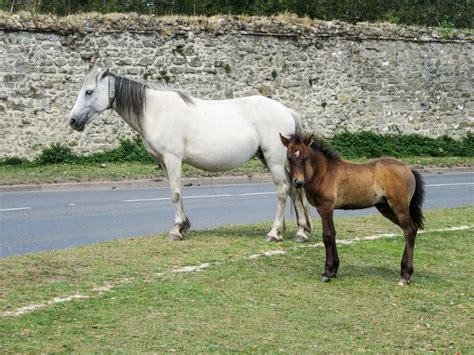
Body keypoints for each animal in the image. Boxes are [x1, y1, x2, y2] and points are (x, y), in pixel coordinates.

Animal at [67, 68, 312, 243]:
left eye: (89, 91)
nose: (73, 121)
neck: (156, 111)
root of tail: (286, 111)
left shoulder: (172, 159)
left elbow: (175, 193)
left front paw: (176, 230)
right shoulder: (166, 163)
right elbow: (178, 193)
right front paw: (184, 226)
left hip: (274, 161)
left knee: (282, 191)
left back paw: (274, 233)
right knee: (293, 189)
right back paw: (301, 232)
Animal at [282, 132, 426, 286]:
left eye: (305, 157)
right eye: (289, 157)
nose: (298, 182)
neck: (324, 172)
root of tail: (408, 169)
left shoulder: (326, 206)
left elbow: (327, 236)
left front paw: (326, 273)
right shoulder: (323, 209)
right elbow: (333, 233)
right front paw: (334, 270)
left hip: (399, 207)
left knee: (409, 231)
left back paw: (405, 275)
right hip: (386, 208)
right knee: (412, 229)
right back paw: (404, 271)